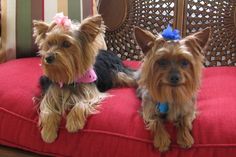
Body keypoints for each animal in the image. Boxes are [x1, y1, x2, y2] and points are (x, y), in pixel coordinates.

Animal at [33, 13, 210, 152]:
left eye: (66, 44)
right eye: (48, 44)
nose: (48, 57)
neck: (67, 79)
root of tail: (107, 52)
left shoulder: (93, 94)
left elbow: (81, 104)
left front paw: (73, 122)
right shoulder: (49, 94)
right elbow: (48, 110)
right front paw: (48, 133)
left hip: (119, 74)